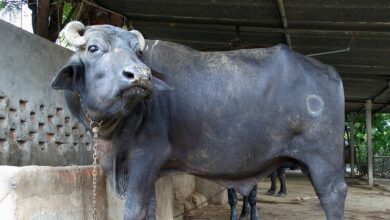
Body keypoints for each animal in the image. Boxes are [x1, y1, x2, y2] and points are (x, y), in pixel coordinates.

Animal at [51, 21, 348, 220]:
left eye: (137, 52)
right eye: (93, 48)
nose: (140, 76)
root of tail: (331, 72)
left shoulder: (145, 158)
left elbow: (134, 208)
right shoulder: (149, 170)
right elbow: (150, 208)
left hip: (324, 160)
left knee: (332, 195)